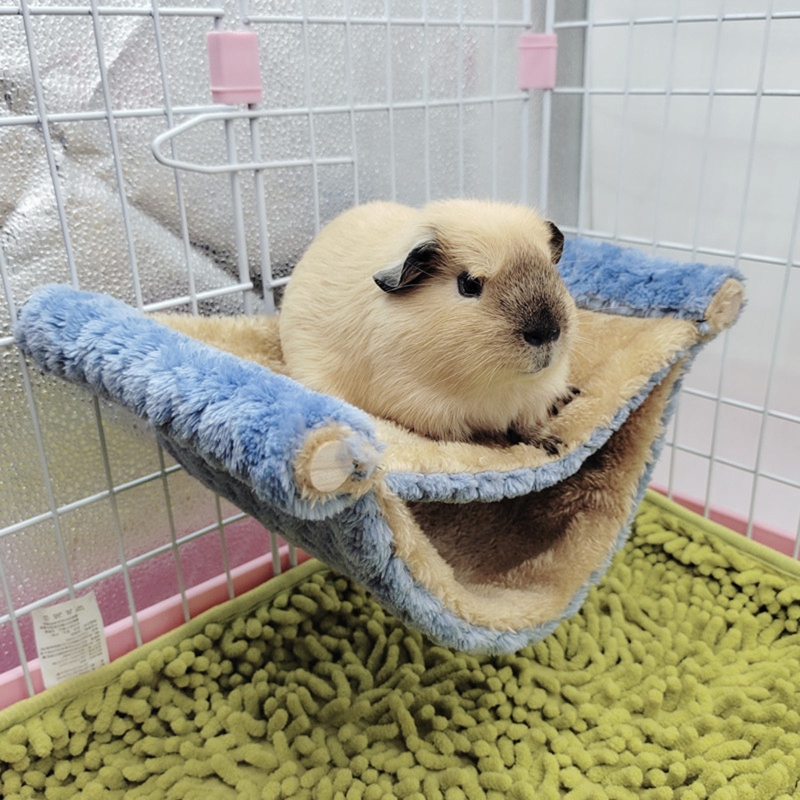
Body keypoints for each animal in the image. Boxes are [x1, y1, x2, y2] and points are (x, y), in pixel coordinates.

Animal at [279, 199, 578, 452]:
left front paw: (553, 444)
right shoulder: (425, 408)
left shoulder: (533, 399)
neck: (500, 387)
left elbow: (527, 425)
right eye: (469, 284)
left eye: (550, 270)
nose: (547, 333)